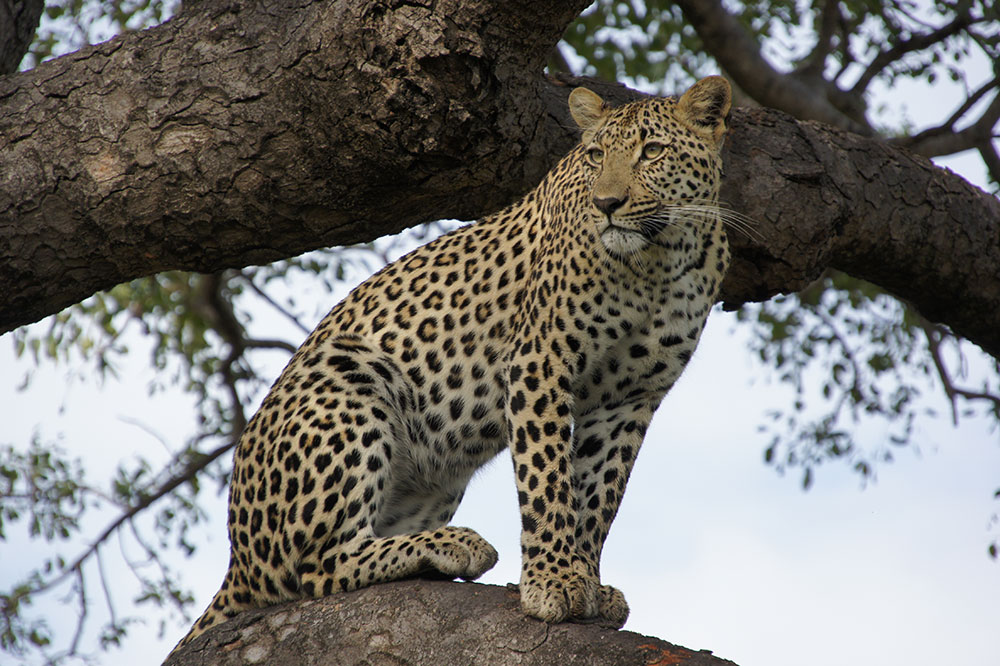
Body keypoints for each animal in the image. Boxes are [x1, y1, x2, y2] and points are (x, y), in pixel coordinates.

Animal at [168, 75, 736, 656]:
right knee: (317, 567)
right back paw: (455, 545)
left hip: (437, 477)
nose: (606, 203)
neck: (661, 257)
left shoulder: (631, 398)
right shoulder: (540, 361)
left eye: (653, 151)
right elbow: (547, 479)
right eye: (596, 156)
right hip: (350, 380)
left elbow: (598, 495)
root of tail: (237, 563)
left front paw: (587, 578)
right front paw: (553, 579)